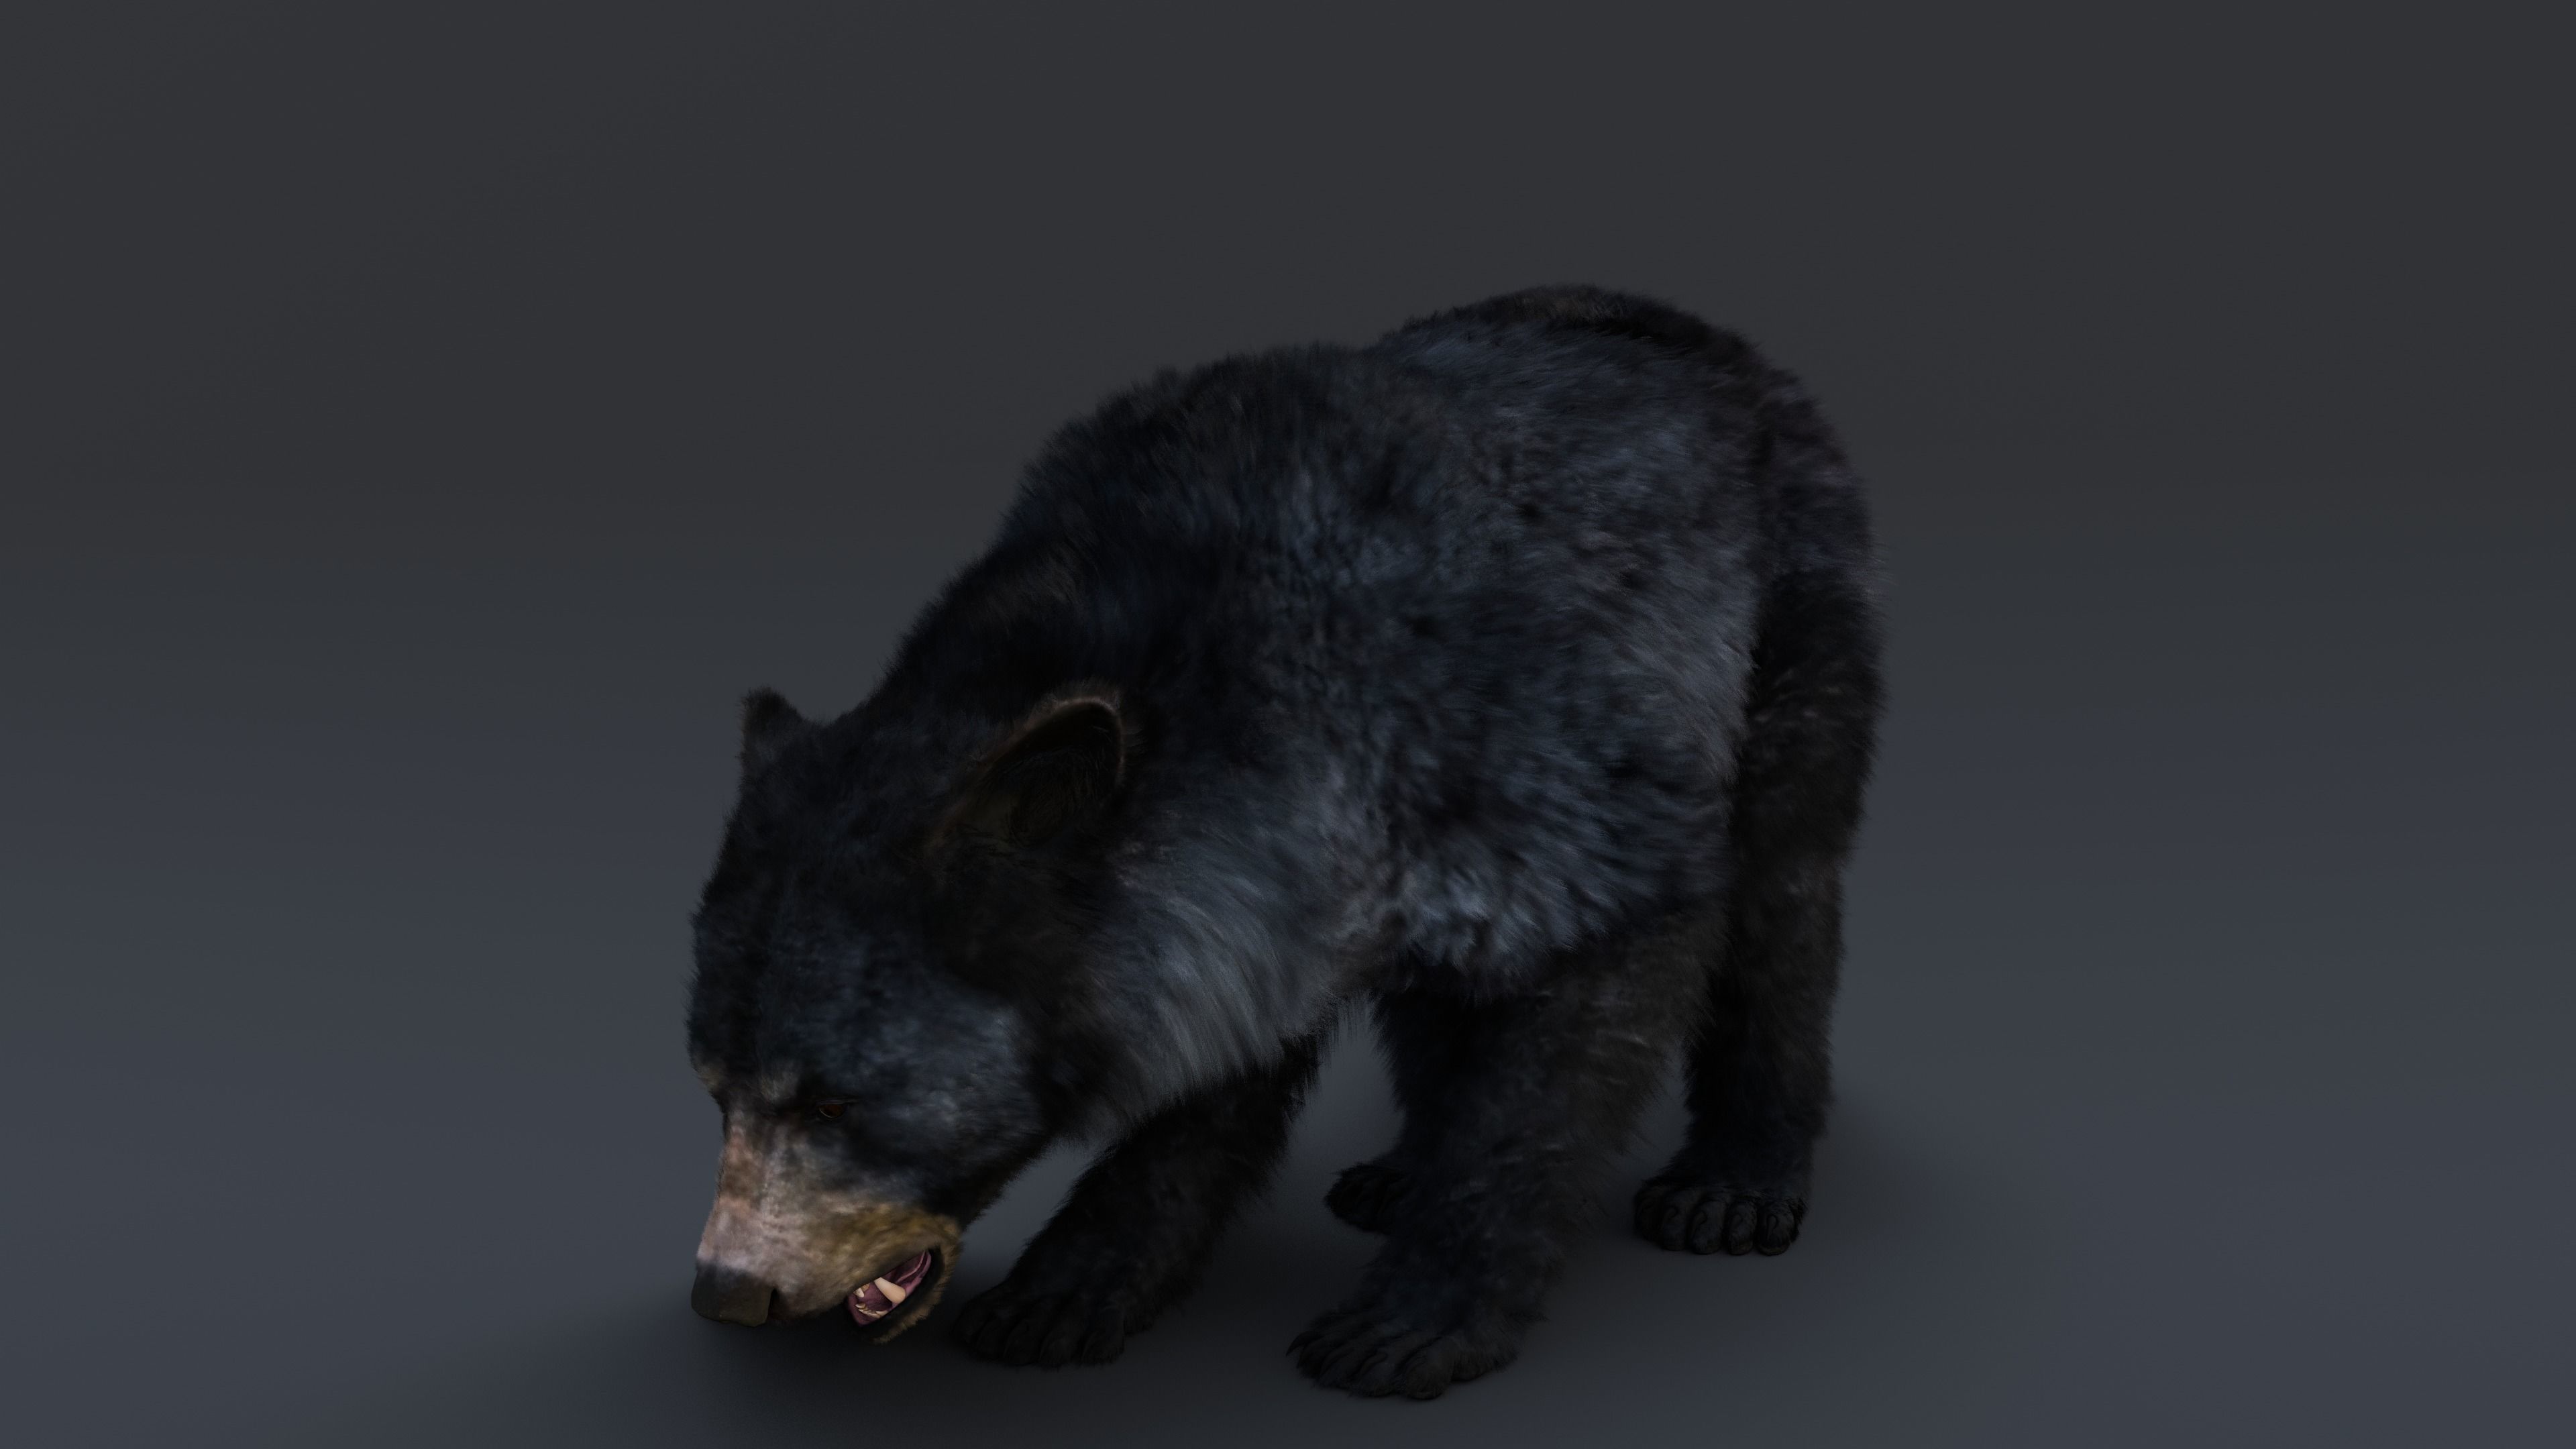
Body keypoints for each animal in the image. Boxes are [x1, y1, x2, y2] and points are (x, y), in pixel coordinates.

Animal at [684, 284, 1884, 1400]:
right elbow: (1213, 1087)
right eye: (715, 1092)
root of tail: (1668, 319)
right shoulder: (1260, 897)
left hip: (1784, 656)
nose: (730, 1293)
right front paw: (1069, 1289)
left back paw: (1735, 1180)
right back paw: (1402, 1169)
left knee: (1780, 905)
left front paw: (1416, 1320)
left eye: (835, 1102)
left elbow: (1551, 1072)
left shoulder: (1559, 794)